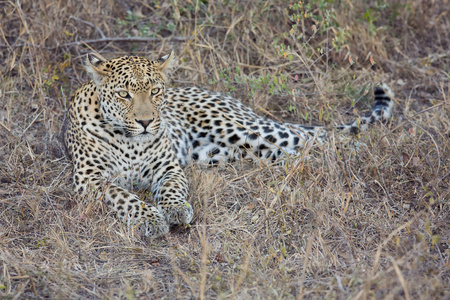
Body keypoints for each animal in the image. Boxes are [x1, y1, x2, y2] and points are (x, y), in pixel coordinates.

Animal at [63, 52, 394, 239]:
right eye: (124, 94)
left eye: (155, 91)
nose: (146, 122)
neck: (130, 140)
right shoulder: (90, 180)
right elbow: (124, 196)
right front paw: (150, 218)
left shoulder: (169, 168)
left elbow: (171, 189)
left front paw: (175, 210)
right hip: (229, 154)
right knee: (294, 153)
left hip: (246, 130)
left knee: (313, 139)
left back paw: (359, 157)